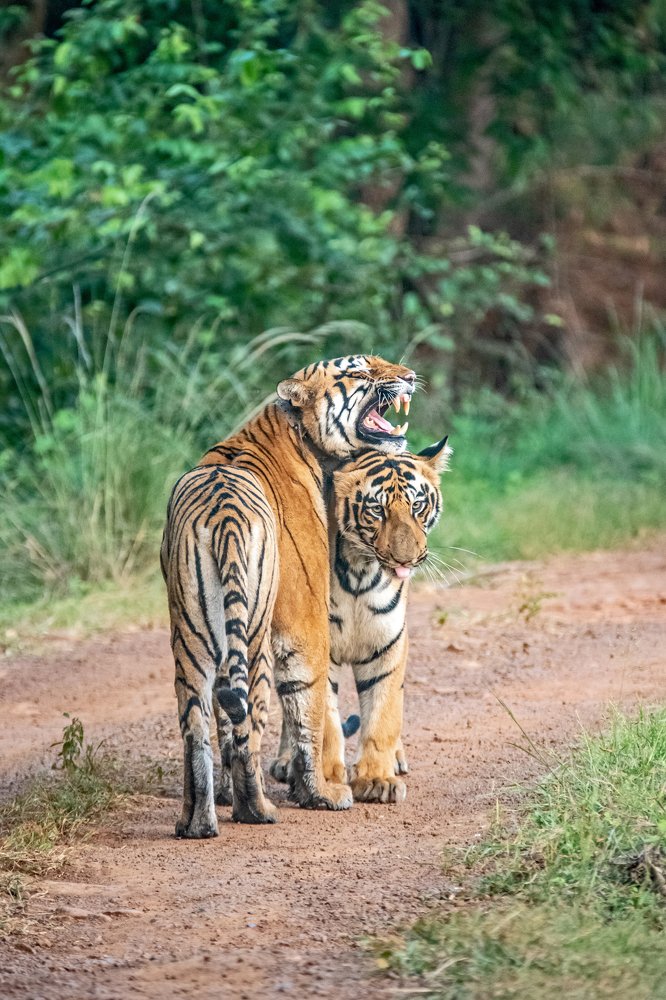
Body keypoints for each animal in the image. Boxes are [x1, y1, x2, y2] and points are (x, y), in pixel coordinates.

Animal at [160, 354, 416, 837]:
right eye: (360, 370)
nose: (410, 376)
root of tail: (223, 517)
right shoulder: (305, 623)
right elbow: (311, 712)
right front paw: (321, 793)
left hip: (192, 640)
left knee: (198, 729)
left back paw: (198, 822)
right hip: (255, 636)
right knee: (251, 728)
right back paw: (258, 810)